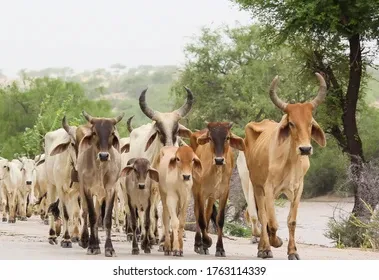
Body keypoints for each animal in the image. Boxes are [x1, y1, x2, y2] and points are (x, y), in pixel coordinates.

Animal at [45, 117, 81, 248]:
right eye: (72, 143)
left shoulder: (78, 191)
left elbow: (76, 212)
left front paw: (76, 237)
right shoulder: (60, 188)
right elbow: (65, 213)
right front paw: (66, 239)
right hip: (51, 184)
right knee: (52, 206)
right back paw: (52, 236)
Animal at [190, 121, 246, 258]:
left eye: (227, 138)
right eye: (210, 138)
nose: (219, 160)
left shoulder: (224, 193)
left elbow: (219, 220)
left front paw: (220, 248)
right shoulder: (200, 193)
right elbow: (201, 219)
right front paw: (206, 241)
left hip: (211, 196)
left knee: (207, 212)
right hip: (196, 189)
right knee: (197, 213)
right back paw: (198, 244)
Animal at [245, 72, 328, 260]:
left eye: (310, 123)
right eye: (291, 123)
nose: (305, 149)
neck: (290, 162)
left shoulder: (298, 189)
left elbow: (292, 221)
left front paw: (293, 251)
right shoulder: (268, 188)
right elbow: (272, 222)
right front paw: (276, 242)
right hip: (257, 186)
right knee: (262, 216)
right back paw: (265, 248)